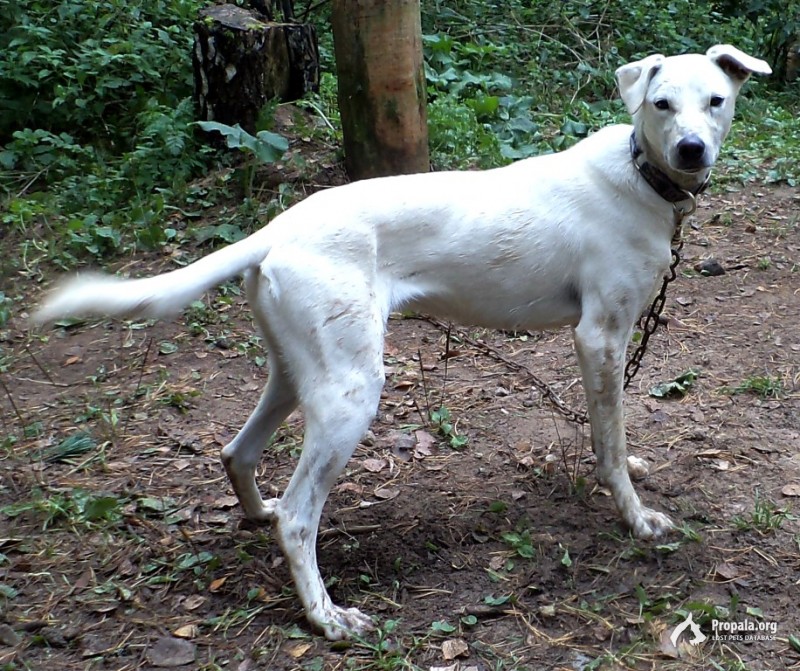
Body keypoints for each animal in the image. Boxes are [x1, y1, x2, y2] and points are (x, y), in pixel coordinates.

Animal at [34, 44, 772, 636]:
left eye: (716, 100)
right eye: (661, 104)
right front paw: (636, 517)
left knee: (237, 454)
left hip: (299, 375)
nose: (692, 150)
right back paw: (326, 617)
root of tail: (275, 230)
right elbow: (610, 442)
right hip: (351, 394)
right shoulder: (600, 338)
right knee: (299, 516)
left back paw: (258, 514)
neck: (642, 175)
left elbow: (613, 435)